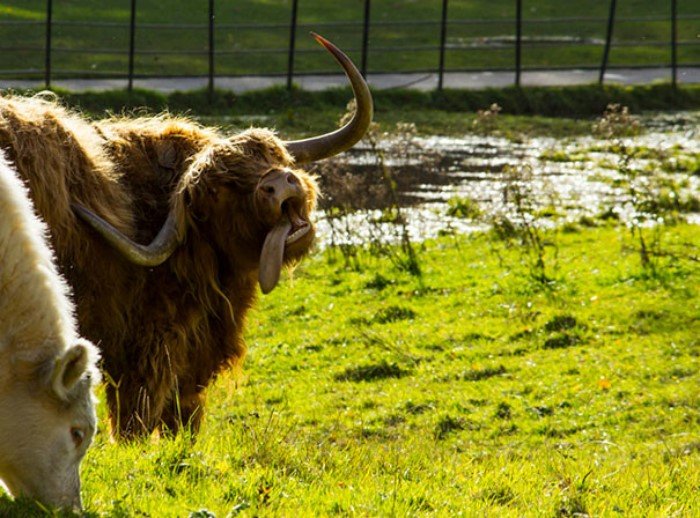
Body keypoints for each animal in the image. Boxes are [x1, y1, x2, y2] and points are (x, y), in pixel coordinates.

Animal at [0, 33, 372, 438]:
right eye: (221, 190)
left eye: (273, 157)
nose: (279, 183)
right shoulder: (146, 347)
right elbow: (137, 421)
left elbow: (183, 415)